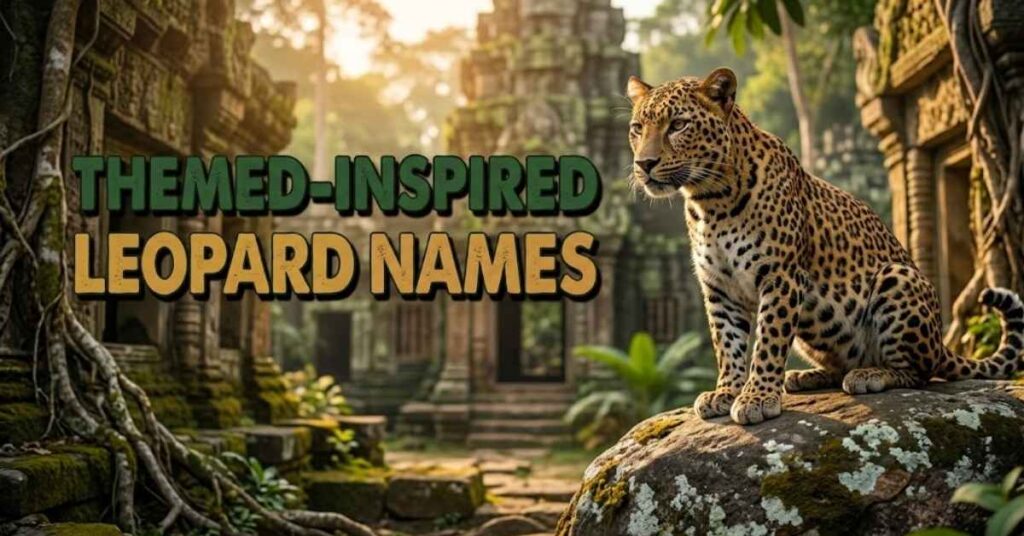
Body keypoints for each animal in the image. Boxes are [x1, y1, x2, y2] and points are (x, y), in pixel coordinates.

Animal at [626, 67, 1024, 425]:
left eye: (678, 125)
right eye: (637, 129)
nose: (644, 163)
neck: (710, 201)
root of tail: (942, 344)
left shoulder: (781, 277)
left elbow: (768, 340)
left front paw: (757, 397)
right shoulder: (719, 288)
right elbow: (727, 344)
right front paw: (726, 391)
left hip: (897, 279)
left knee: (919, 372)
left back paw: (870, 374)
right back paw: (805, 377)